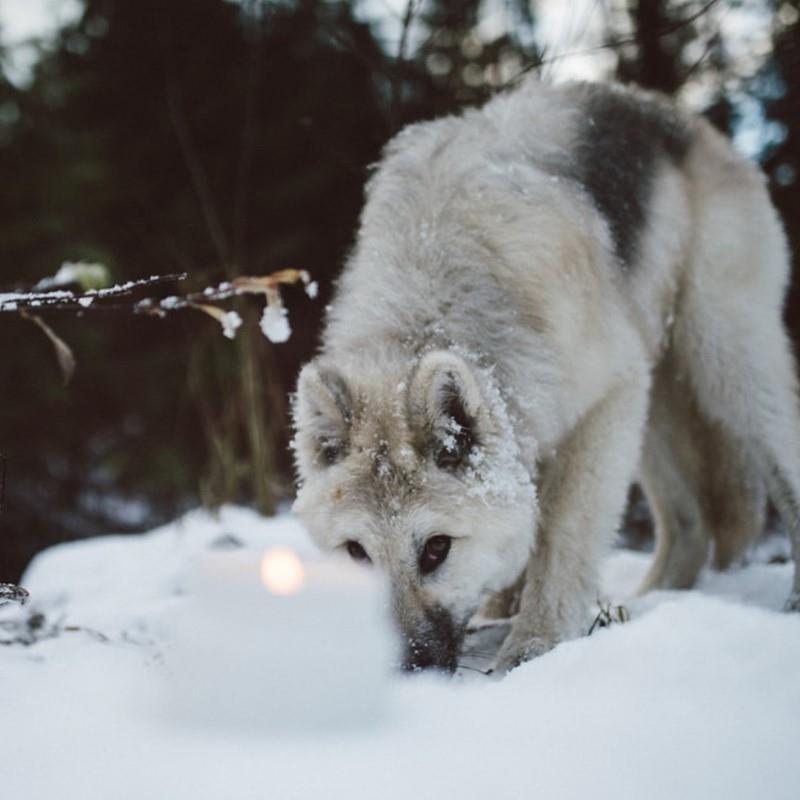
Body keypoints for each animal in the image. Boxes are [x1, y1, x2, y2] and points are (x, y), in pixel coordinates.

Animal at [292, 79, 800, 673]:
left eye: (437, 548)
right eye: (356, 553)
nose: (408, 669)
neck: (439, 279)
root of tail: (676, 114)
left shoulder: (604, 402)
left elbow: (560, 535)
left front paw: (534, 644)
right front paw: (505, 610)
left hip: (723, 358)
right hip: (652, 410)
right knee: (688, 524)